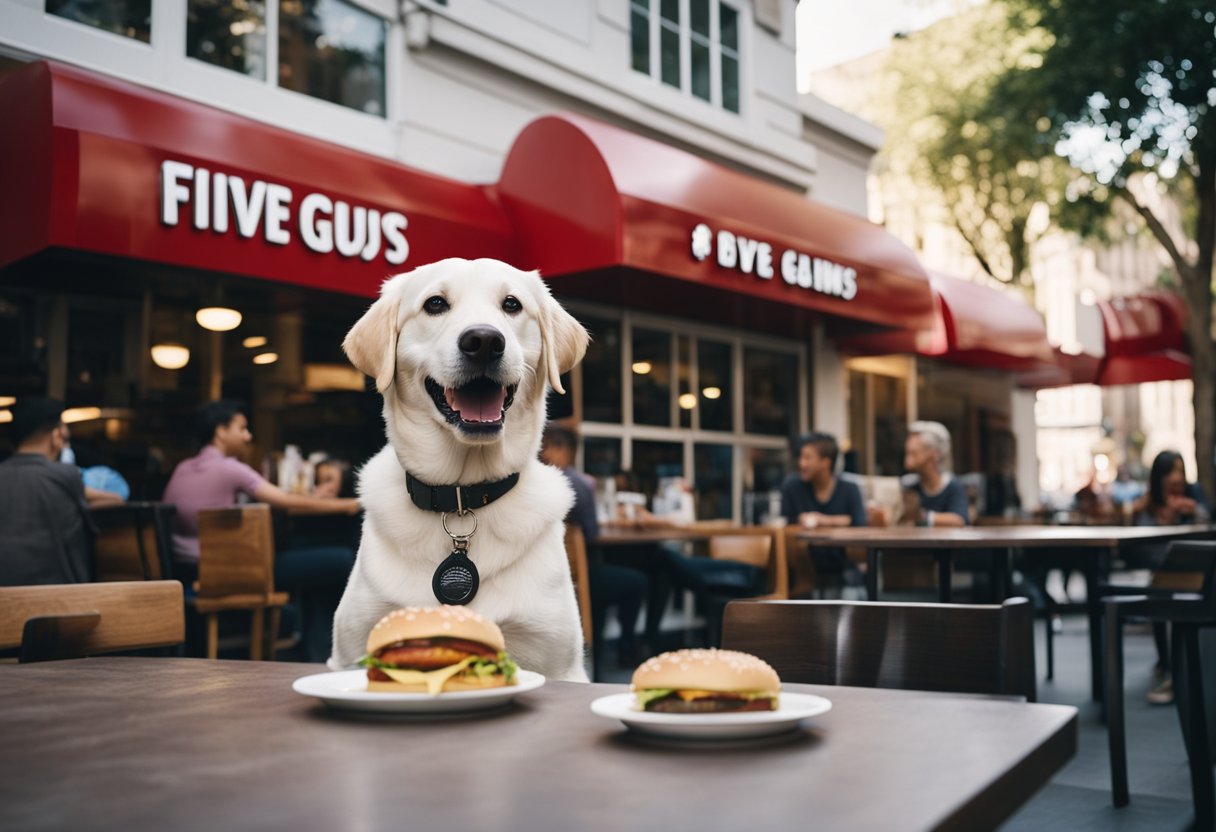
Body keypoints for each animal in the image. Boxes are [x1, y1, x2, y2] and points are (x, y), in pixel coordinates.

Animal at [323, 256, 588, 681]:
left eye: (511, 305)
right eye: (435, 304)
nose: (484, 341)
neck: (463, 495)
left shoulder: (561, 666)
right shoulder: (346, 653)